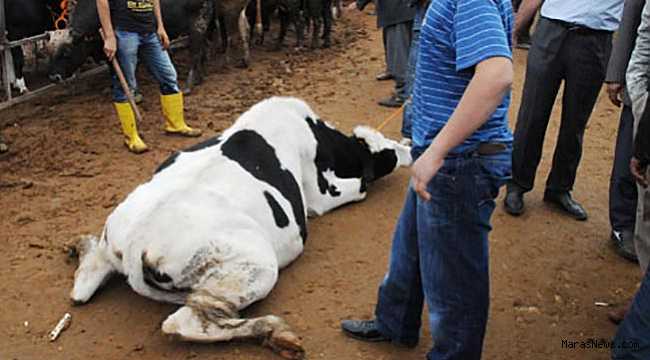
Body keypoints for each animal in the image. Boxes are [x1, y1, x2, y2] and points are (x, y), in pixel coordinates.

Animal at [69, 97, 410, 358]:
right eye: (386, 151)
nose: (409, 149)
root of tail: (134, 245)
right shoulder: (321, 196)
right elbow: (361, 187)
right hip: (252, 265)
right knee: (183, 322)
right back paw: (275, 332)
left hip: (110, 246)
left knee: (83, 284)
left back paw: (79, 246)